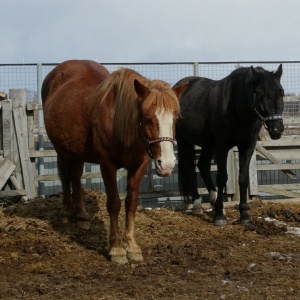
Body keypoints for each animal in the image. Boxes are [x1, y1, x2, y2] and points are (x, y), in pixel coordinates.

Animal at [42, 60, 188, 262]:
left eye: (175, 119)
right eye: (148, 119)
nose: (166, 165)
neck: (119, 121)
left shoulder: (139, 165)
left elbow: (131, 203)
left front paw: (132, 246)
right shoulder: (107, 164)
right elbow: (114, 204)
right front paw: (117, 248)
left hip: (77, 151)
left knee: (76, 176)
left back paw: (81, 215)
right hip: (61, 150)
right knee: (65, 176)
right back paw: (66, 214)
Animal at [173, 65, 284, 225]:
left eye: (281, 92)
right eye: (259, 93)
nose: (277, 130)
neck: (236, 107)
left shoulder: (247, 147)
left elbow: (243, 178)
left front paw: (244, 215)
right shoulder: (222, 146)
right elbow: (222, 177)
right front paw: (219, 216)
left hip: (207, 144)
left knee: (203, 166)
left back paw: (212, 202)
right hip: (184, 140)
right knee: (190, 167)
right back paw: (197, 205)